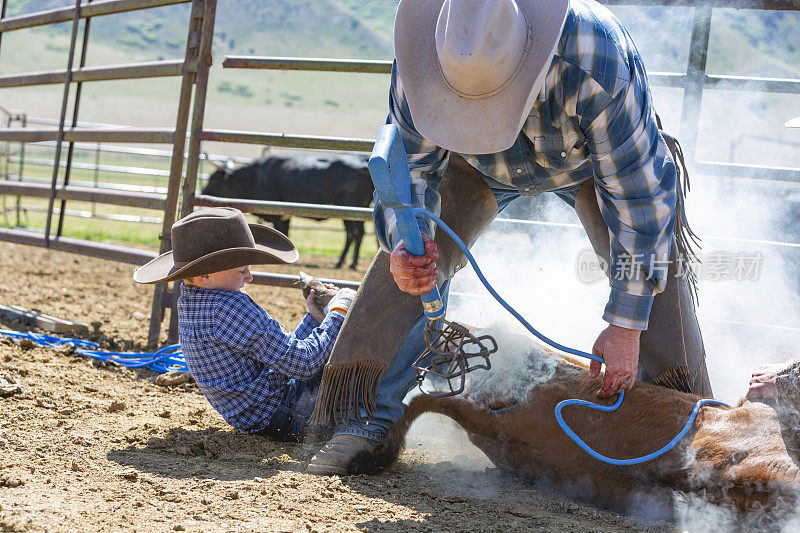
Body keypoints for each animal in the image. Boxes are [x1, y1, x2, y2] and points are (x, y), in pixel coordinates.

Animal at [200, 155, 376, 270]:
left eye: (213, 180)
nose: (202, 192)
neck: (256, 177)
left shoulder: (277, 216)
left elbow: (282, 233)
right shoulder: (285, 217)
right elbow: (286, 233)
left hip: (350, 209)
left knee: (353, 233)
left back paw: (342, 263)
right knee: (358, 233)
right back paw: (351, 263)